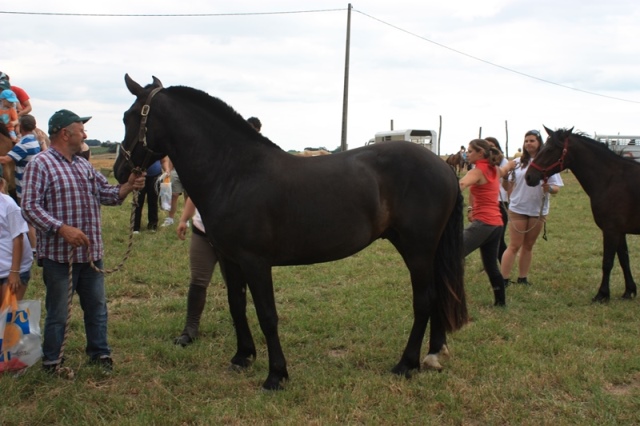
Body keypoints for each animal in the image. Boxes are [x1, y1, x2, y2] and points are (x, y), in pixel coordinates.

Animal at [112, 74, 468, 390]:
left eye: (129, 117)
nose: (120, 171)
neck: (235, 172)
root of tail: (443, 166)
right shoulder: (230, 259)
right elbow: (236, 305)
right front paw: (242, 357)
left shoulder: (256, 262)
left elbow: (267, 315)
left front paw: (276, 376)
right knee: (439, 295)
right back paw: (433, 354)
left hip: (417, 249)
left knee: (424, 300)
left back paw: (406, 364)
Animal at [524, 127, 640, 302]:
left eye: (549, 149)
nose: (529, 176)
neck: (611, 180)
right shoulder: (620, 231)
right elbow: (624, 260)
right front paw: (629, 291)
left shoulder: (611, 230)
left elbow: (607, 262)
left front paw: (602, 294)